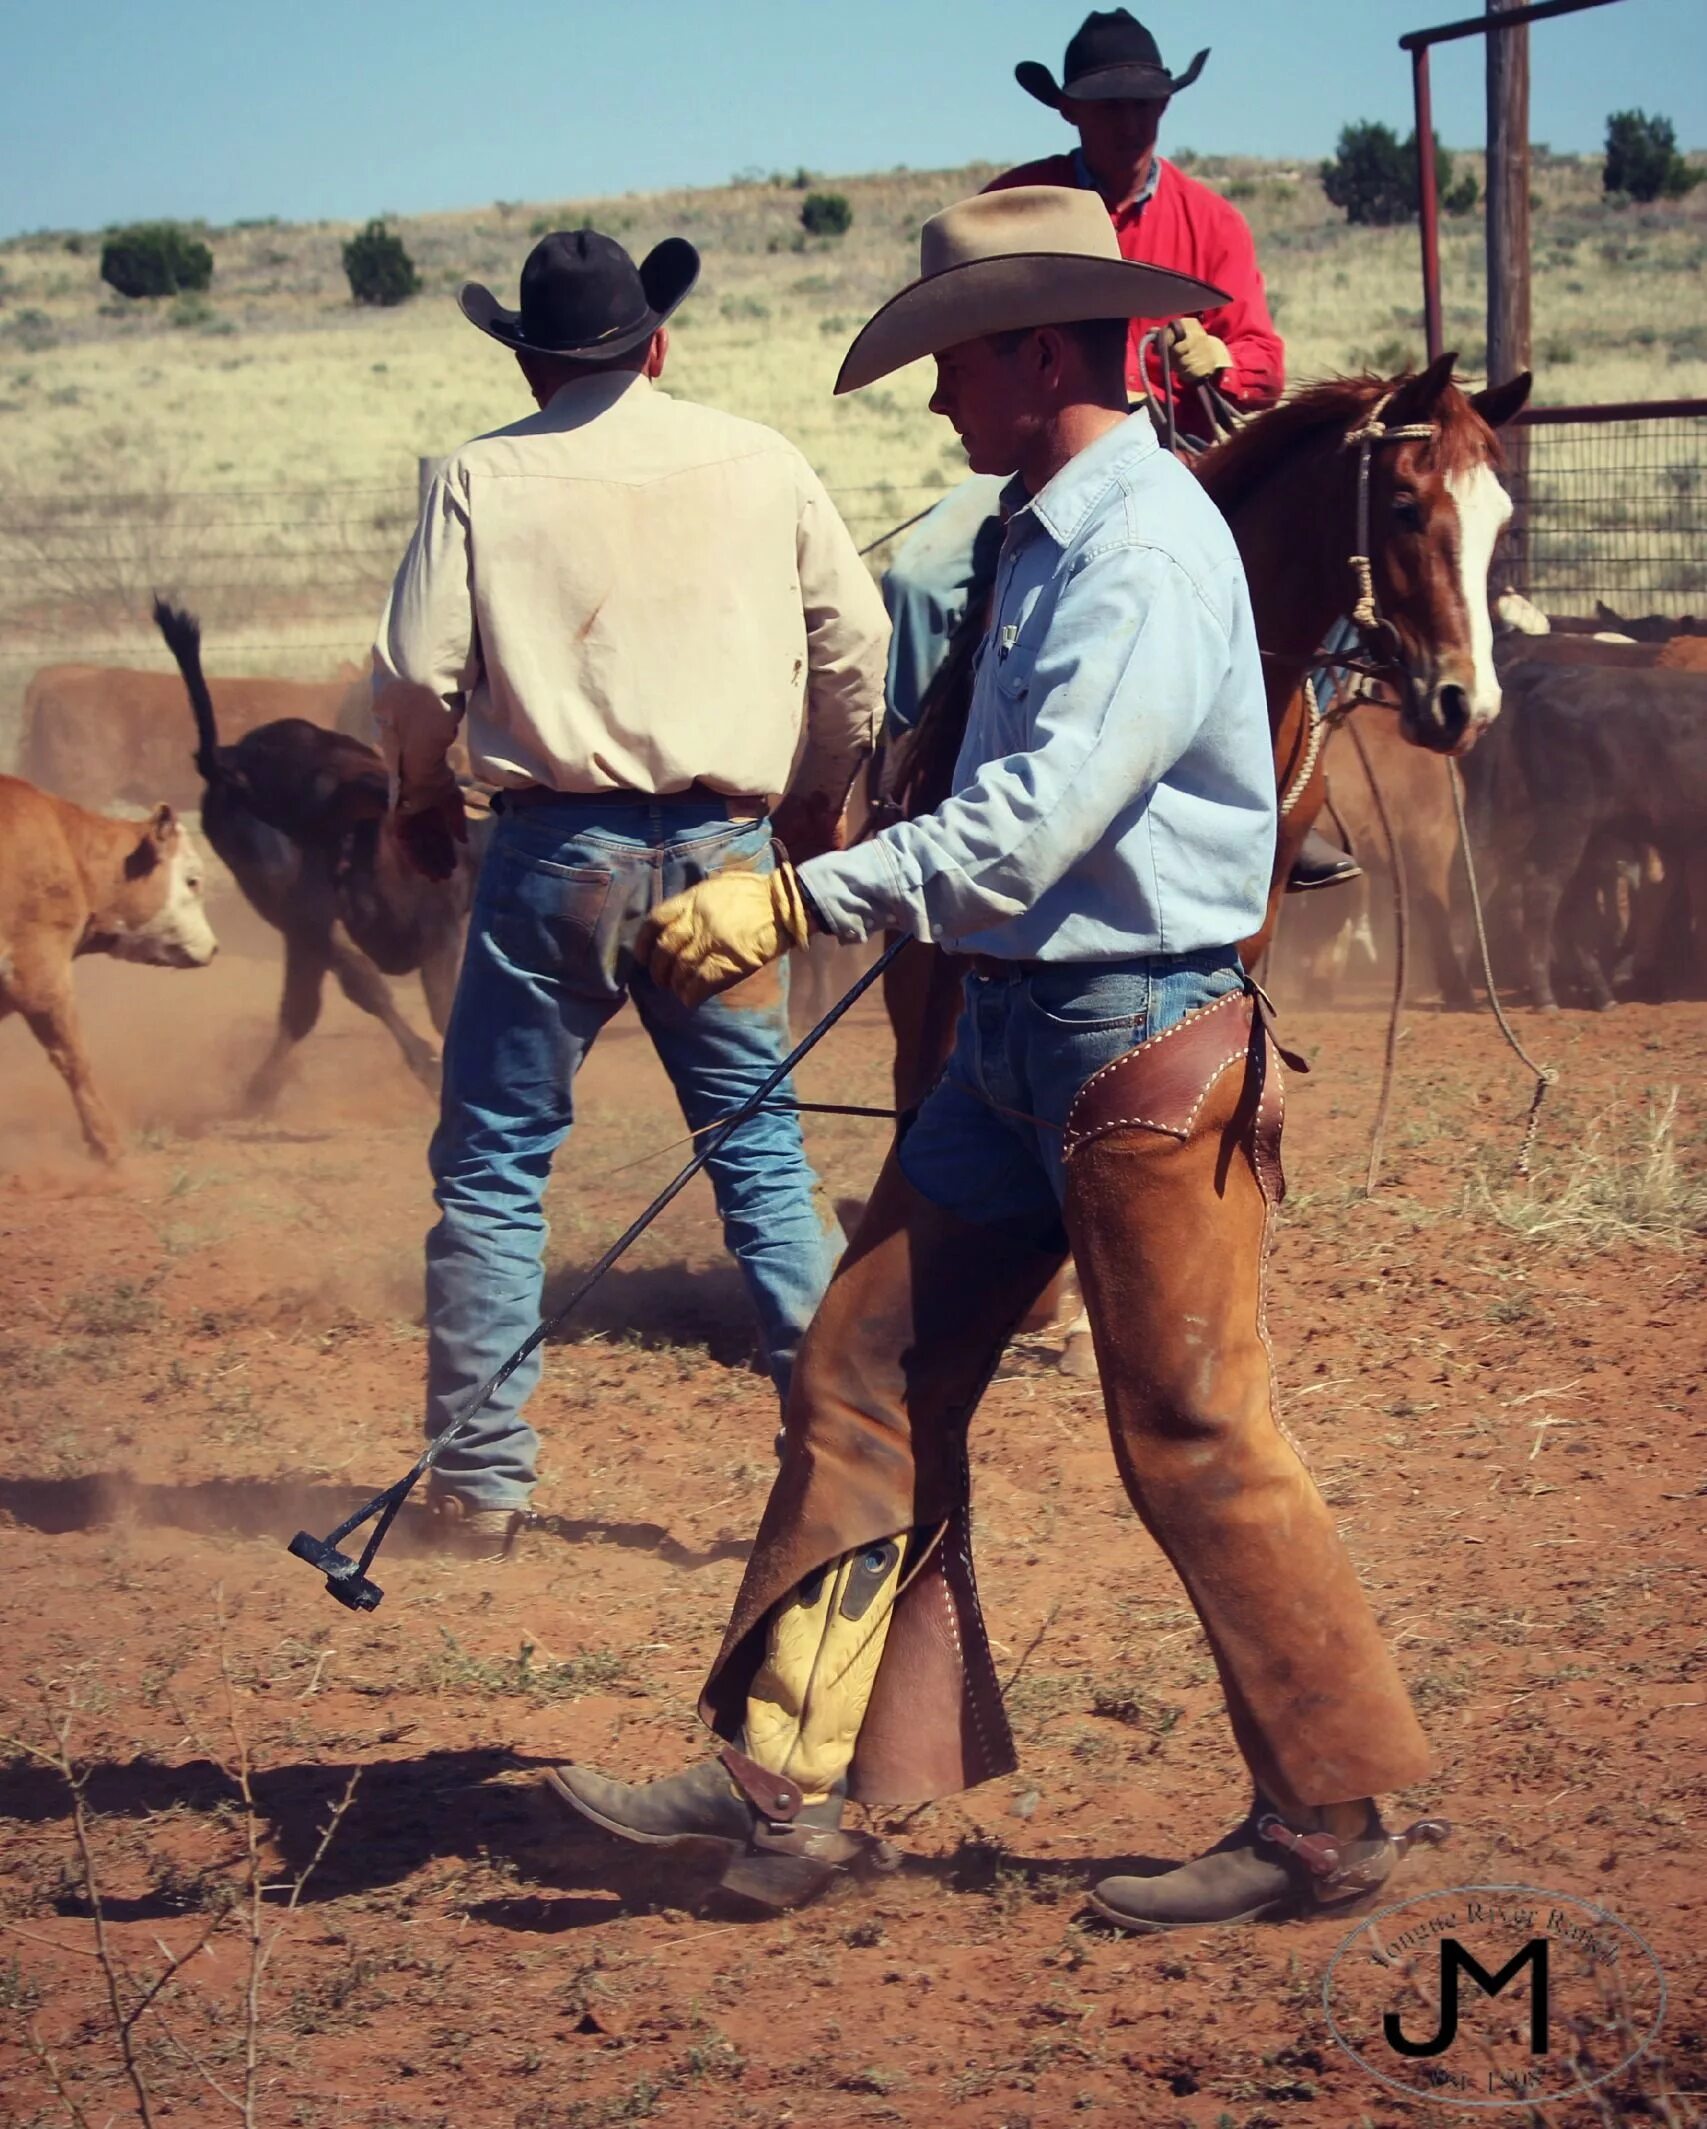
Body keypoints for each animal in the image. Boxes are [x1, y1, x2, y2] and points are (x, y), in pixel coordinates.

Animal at [0, 770, 219, 1158]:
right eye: (192, 880)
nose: (214, 947)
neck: (70, 851)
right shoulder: (39, 973)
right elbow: (74, 1057)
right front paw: (107, 1143)